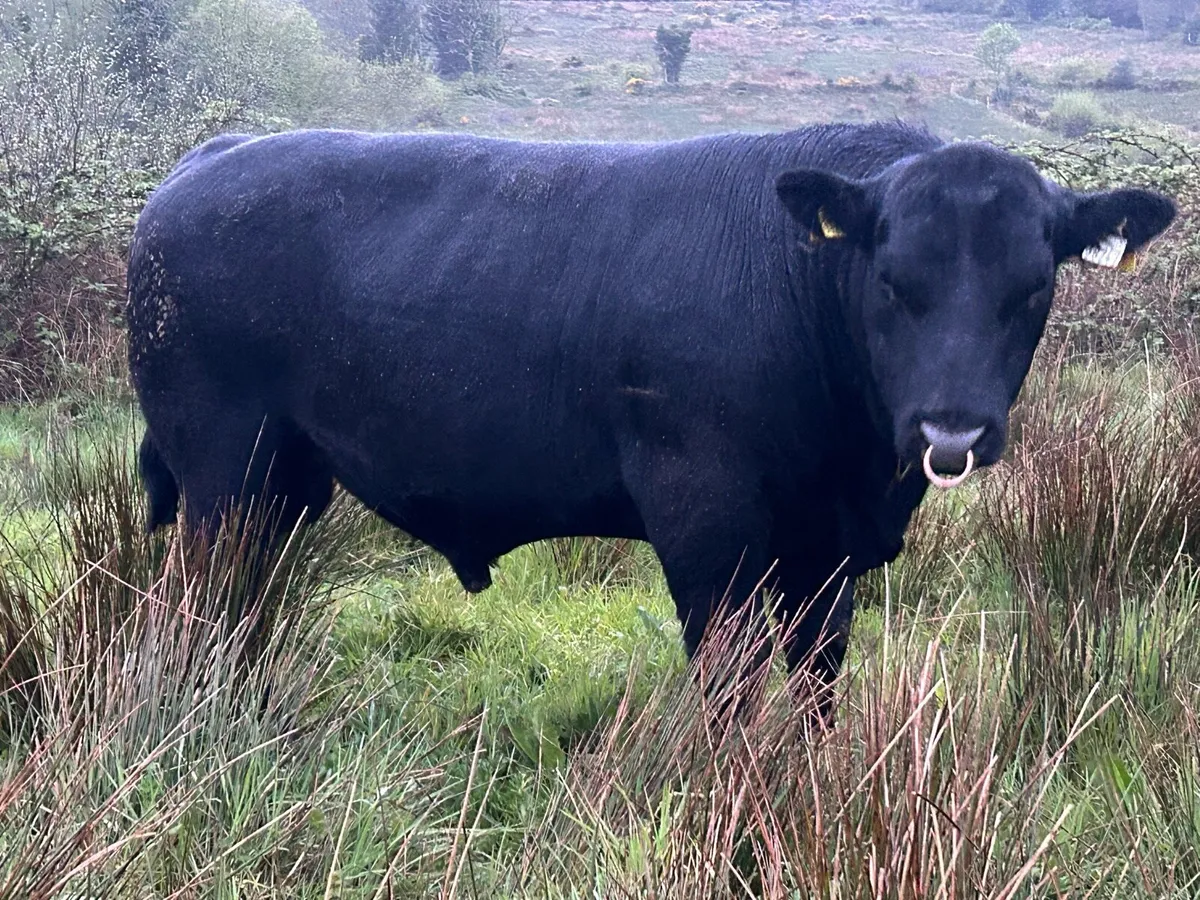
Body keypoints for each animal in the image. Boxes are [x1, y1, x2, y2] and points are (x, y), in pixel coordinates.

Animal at [126, 121, 1175, 712]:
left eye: (1034, 288)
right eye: (889, 279)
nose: (949, 433)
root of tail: (202, 165)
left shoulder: (826, 550)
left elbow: (817, 679)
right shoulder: (706, 520)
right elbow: (731, 685)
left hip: (282, 483)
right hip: (221, 470)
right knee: (201, 604)